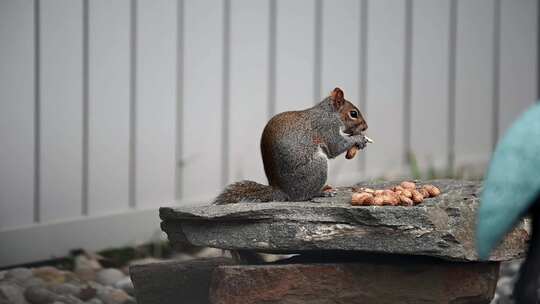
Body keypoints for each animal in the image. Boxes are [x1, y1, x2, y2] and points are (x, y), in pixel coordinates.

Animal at [213, 86, 370, 204]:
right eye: (353, 113)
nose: (365, 127)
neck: (330, 113)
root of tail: (283, 191)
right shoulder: (326, 128)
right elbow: (336, 146)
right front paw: (359, 139)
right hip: (317, 167)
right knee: (303, 196)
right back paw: (321, 192)